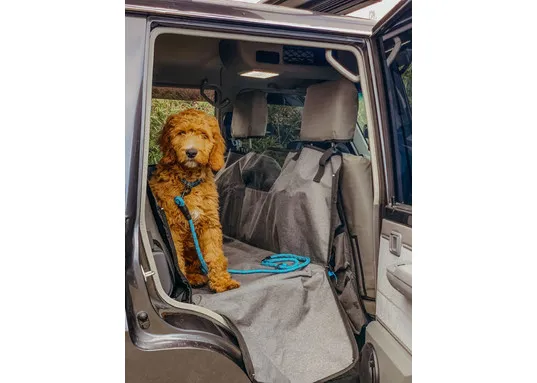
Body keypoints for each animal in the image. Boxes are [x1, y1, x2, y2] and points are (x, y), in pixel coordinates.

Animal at [147, 109, 239, 294]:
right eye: (181, 133)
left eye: (203, 135)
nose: (191, 152)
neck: (188, 182)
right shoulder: (172, 226)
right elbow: (178, 259)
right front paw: (185, 284)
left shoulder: (209, 223)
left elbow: (215, 255)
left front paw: (222, 282)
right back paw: (192, 278)